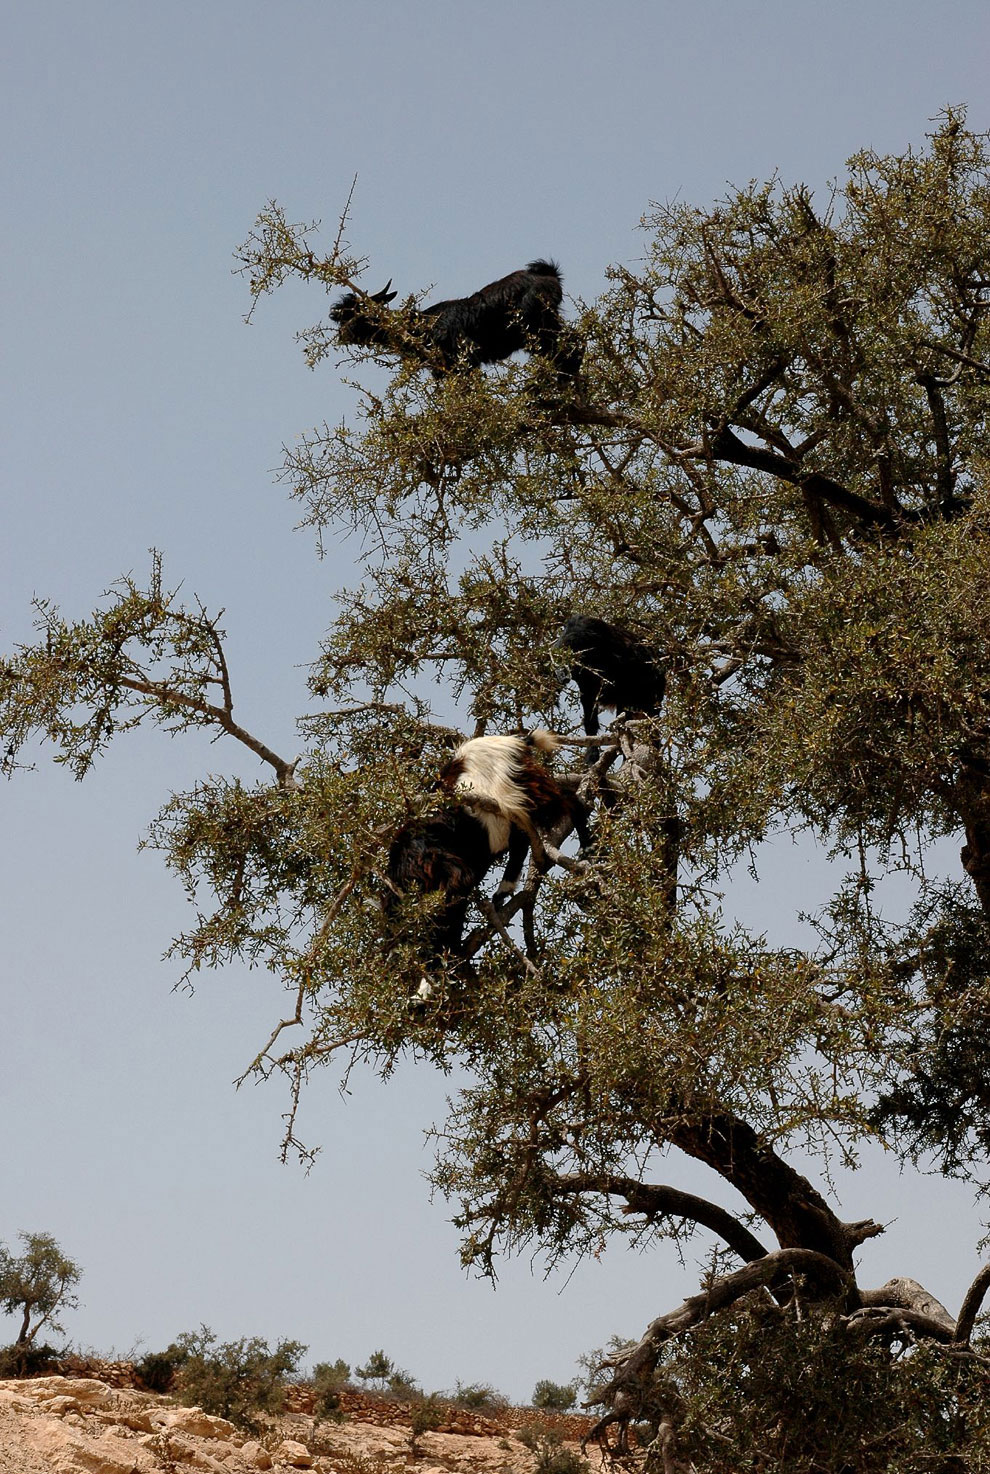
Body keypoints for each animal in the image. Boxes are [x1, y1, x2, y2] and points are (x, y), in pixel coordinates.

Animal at [328, 265, 583, 380]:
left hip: (538, 327)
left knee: (571, 345)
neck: (423, 325)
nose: (342, 333)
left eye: (359, 313)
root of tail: (549, 275)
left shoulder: (464, 359)